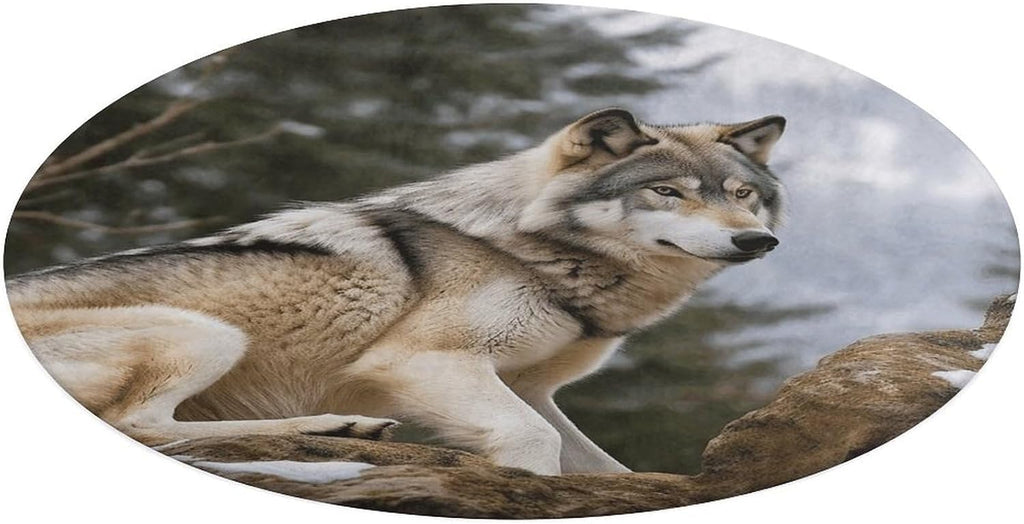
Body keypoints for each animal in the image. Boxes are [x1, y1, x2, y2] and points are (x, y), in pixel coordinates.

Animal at [7, 108, 786, 475]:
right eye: (668, 193)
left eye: (742, 195)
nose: (758, 243)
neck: (526, 252)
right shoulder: (423, 363)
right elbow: (533, 442)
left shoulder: (529, 388)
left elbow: (608, 469)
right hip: (207, 334)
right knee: (139, 425)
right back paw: (326, 428)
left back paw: (336, 431)